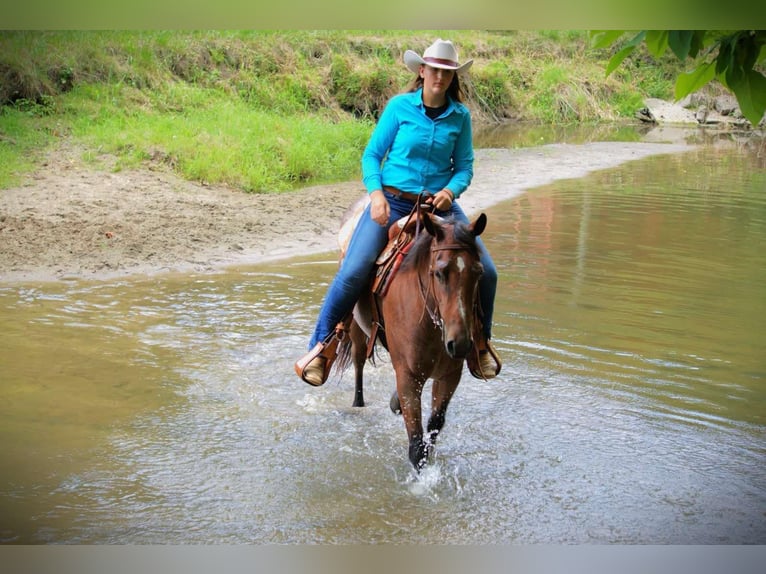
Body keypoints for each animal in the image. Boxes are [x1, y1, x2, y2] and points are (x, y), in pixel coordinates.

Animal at [335, 203, 488, 470]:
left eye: (479, 273)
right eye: (439, 273)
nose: (460, 344)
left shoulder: (450, 375)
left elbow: (434, 426)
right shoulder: (409, 377)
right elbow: (416, 445)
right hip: (356, 331)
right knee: (358, 366)